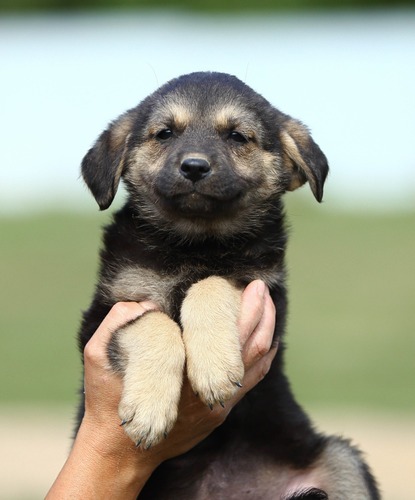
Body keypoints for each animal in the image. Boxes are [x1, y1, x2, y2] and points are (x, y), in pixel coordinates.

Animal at [78, 72, 380, 499]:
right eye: (165, 133)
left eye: (237, 136)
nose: (194, 167)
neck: (196, 243)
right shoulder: (107, 311)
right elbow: (153, 323)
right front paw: (150, 408)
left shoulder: (265, 292)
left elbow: (213, 284)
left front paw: (215, 367)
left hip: (341, 459)